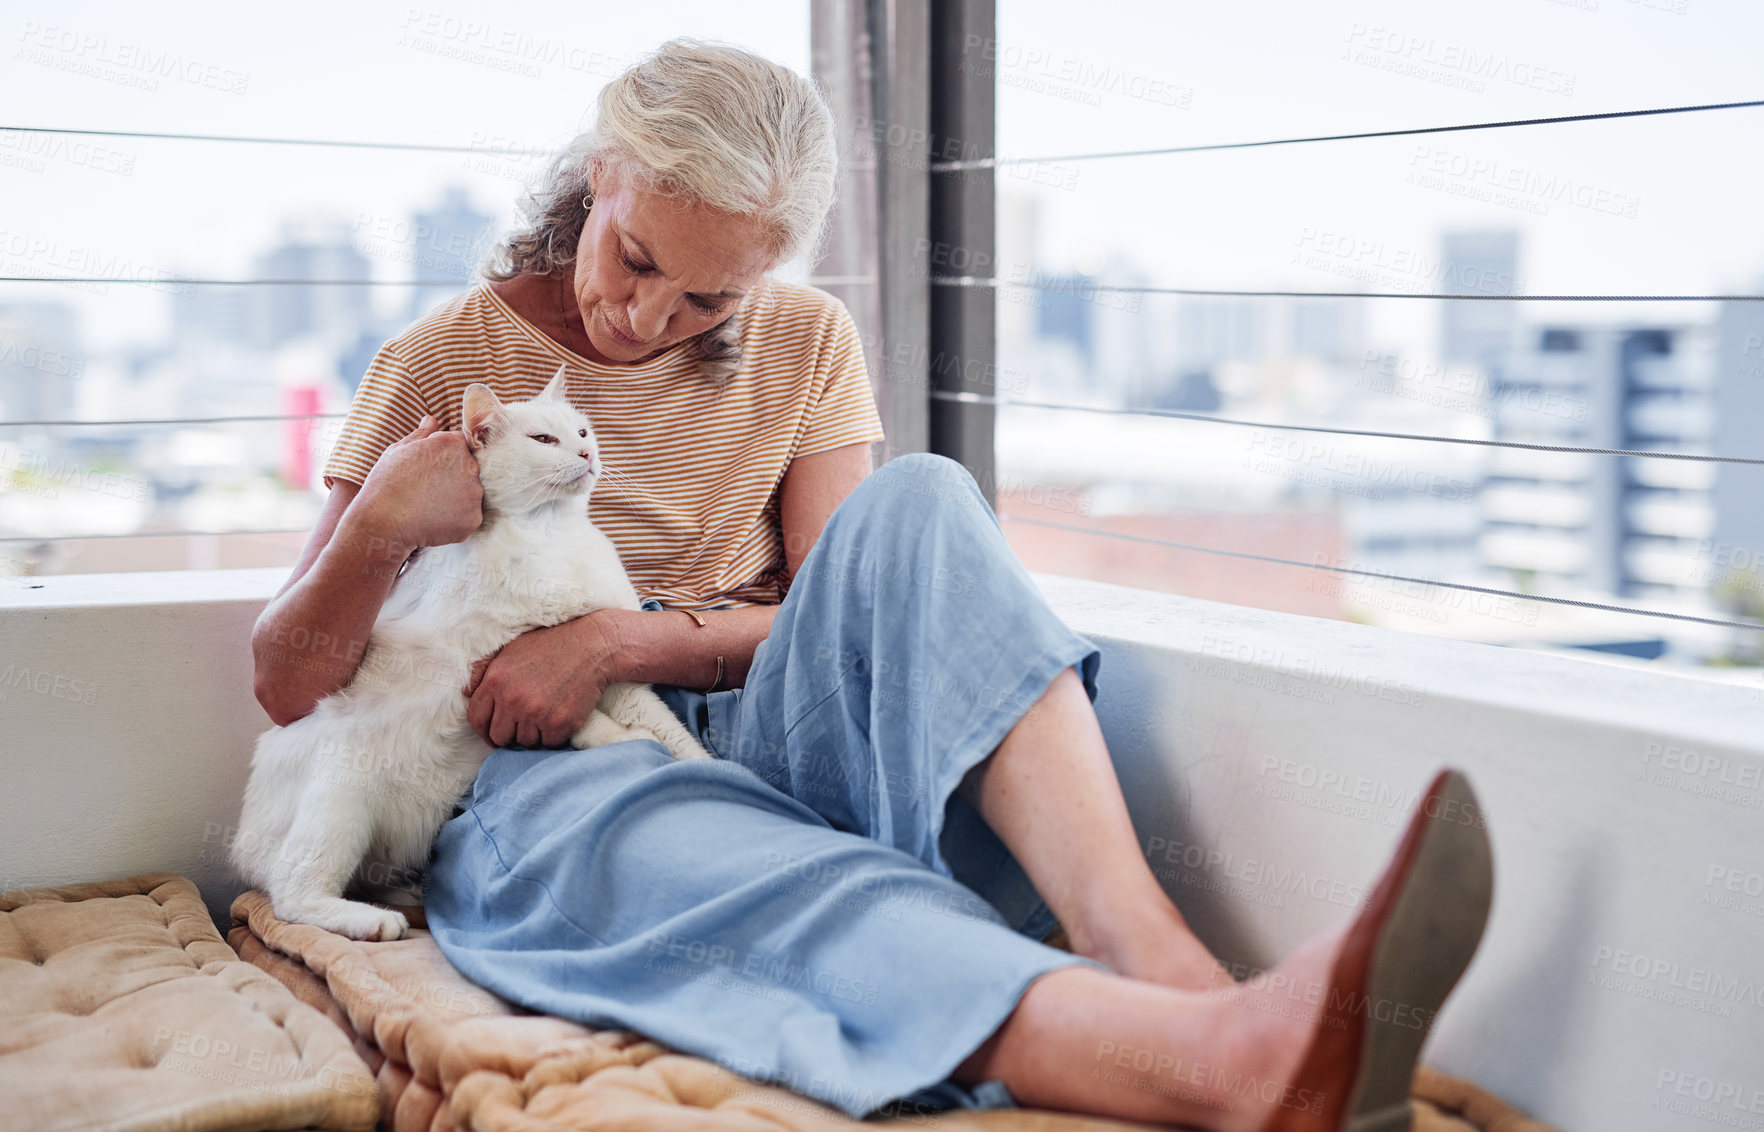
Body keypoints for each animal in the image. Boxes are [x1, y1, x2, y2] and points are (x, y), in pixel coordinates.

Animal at [231, 361, 712, 930]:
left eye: (582, 431)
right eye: (544, 440)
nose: (586, 454)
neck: (551, 535)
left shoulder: (613, 675)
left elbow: (671, 729)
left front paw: (711, 769)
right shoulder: (484, 672)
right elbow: (589, 721)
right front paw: (626, 742)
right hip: (341, 792)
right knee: (292, 896)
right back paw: (372, 921)